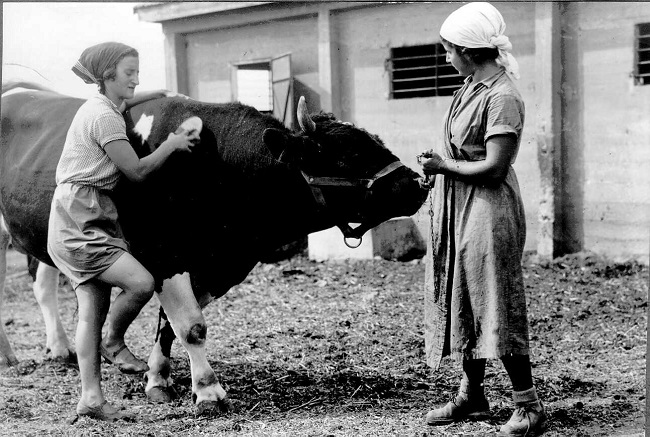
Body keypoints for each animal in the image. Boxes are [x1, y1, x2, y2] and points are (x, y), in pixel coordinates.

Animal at [0, 82, 428, 414]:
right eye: (348, 154)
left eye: (374, 140)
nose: (416, 182)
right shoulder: (165, 256)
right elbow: (191, 327)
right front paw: (208, 391)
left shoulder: (216, 265)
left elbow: (170, 326)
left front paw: (158, 380)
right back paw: (10, 357)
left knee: (43, 283)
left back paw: (61, 349)